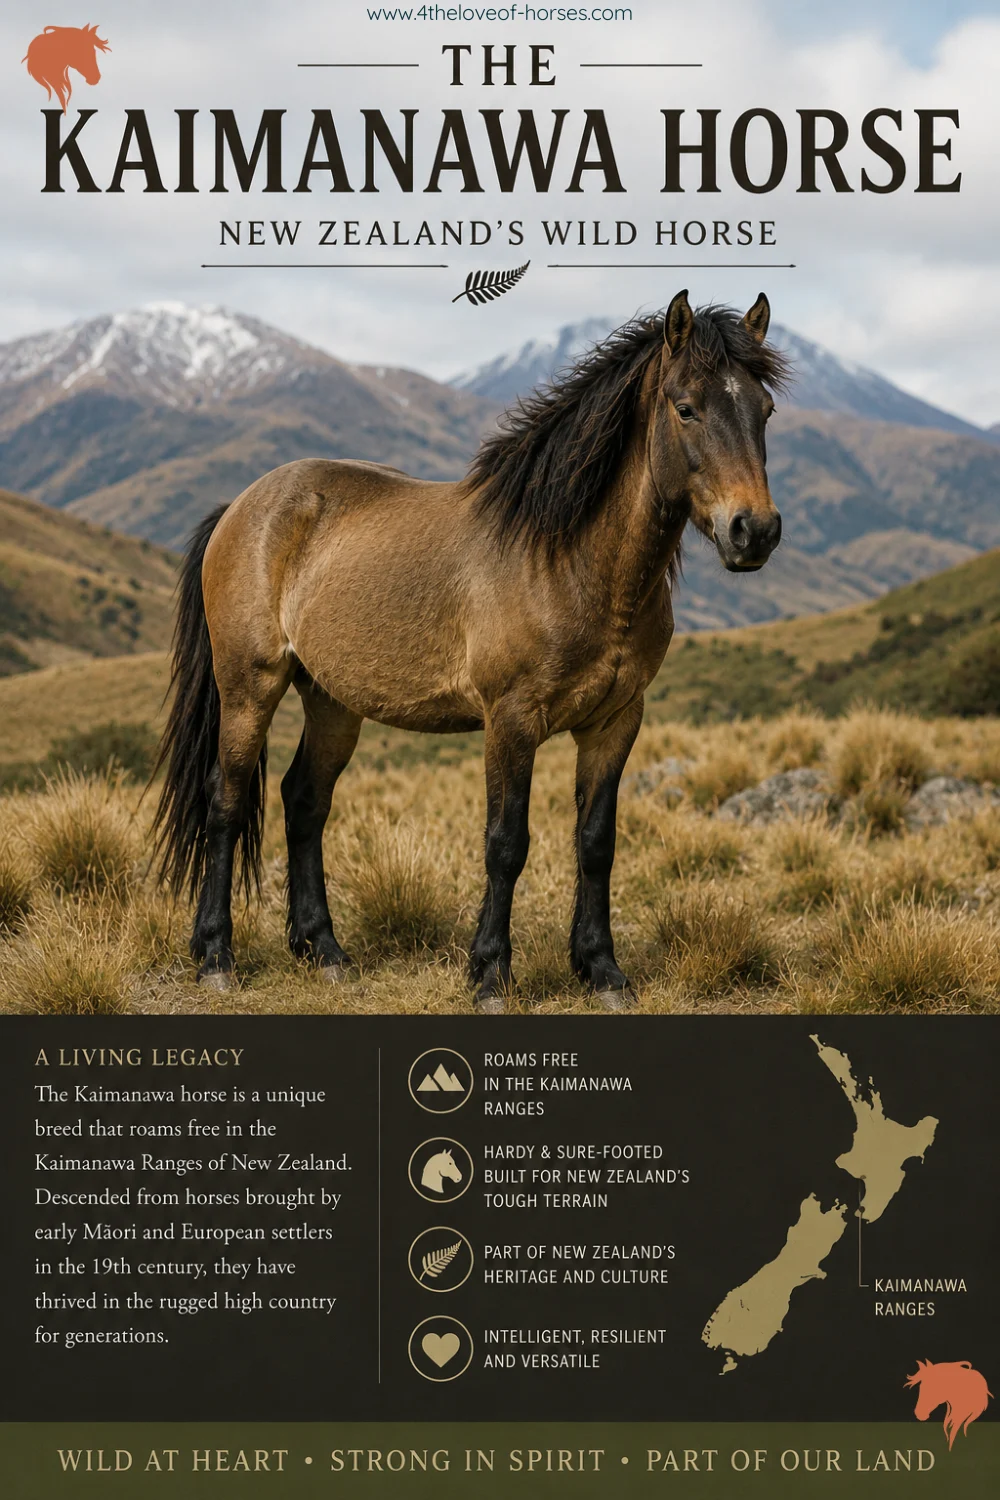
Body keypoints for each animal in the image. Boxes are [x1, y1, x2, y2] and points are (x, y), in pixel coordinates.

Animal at [153, 291, 787, 1012]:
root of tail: (242, 507)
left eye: (765, 410)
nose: (754, 531)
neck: (568, 561)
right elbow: (506, 843)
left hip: (332, 701)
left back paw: (325, 951)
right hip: (249, 687)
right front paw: (489, 973)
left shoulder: (616, 721)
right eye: (686, 408)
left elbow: (596, 842)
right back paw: (216, 956)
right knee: (226, 801)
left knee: (304, 802)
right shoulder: (510, 720)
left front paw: (601, 969)